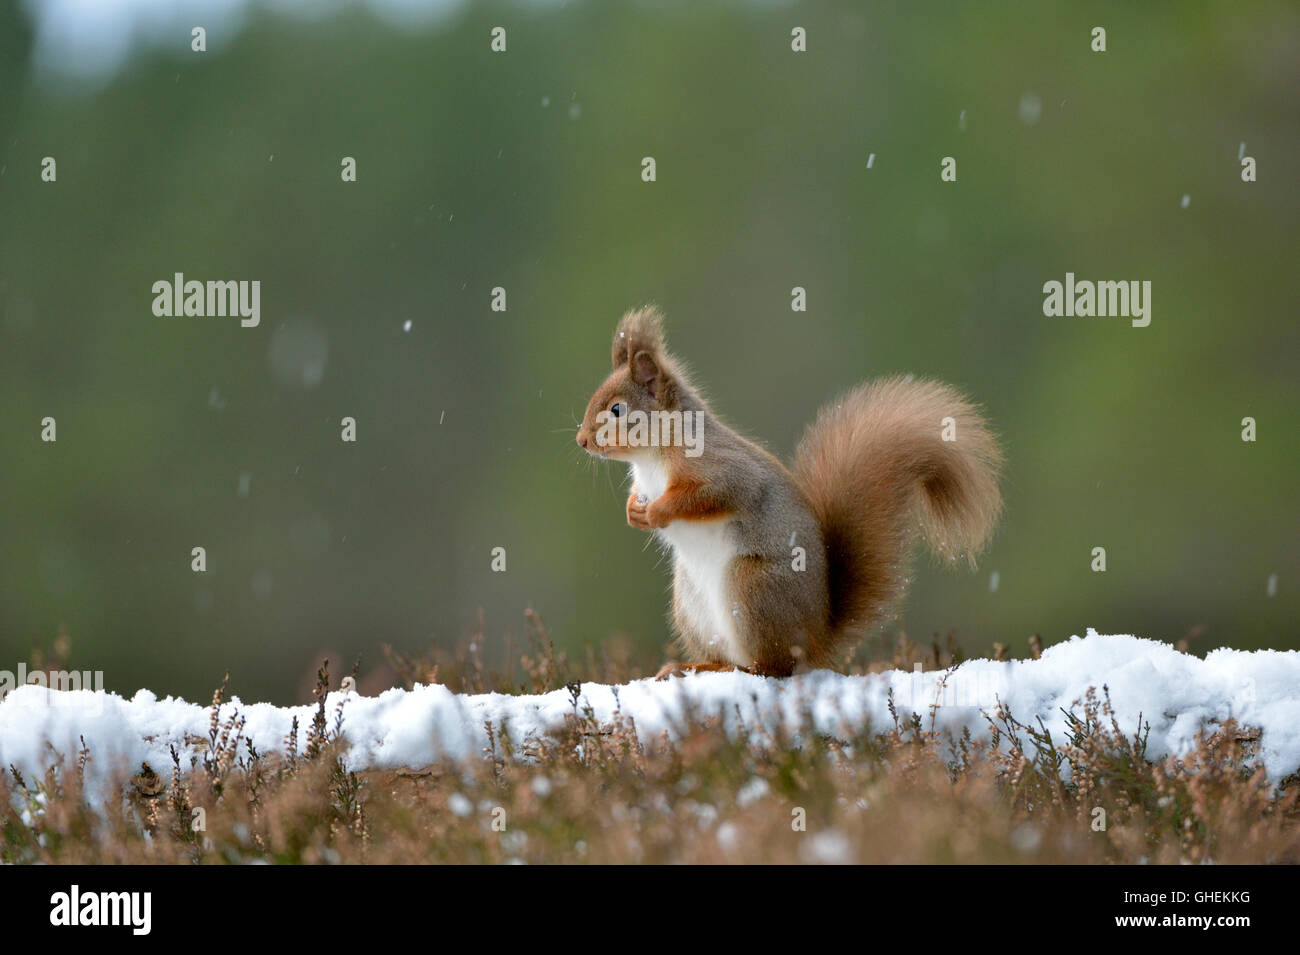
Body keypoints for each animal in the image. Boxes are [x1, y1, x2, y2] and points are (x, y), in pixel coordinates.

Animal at [576, 306, 1003, 680]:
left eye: (617, 410)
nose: (581, 441)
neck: (650, 458)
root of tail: (818, 639)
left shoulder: (722, 471)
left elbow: (711, 495)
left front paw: (659, 513)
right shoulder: (644, 483)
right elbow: (637, 497)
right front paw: (635, 512)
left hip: (751, 588)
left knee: (775, 667)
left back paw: (740, 669)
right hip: (690, 604)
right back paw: (693, 667)